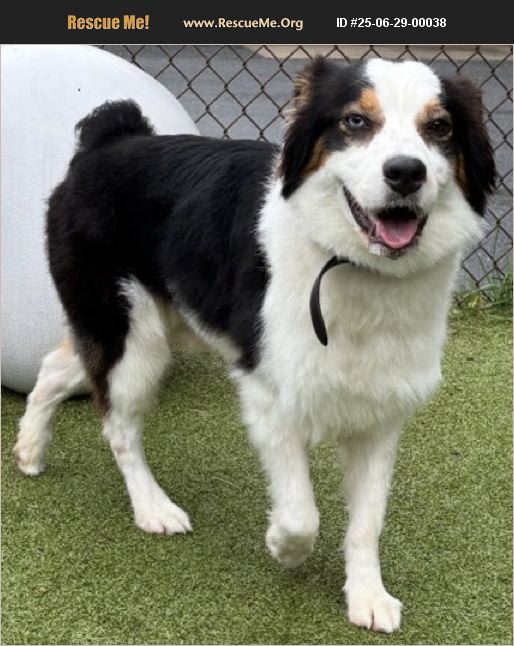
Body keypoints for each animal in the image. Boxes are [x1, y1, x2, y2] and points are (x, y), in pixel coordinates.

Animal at [15, 57, 496, 633]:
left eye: (439, 127)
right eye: (356, 122)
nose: (405, 172)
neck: (353, 265)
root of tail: (114, 136)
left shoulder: (381, 409)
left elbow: (367, 521)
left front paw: (367, 595)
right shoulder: (269, 390)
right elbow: (301, 513)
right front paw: (284, 549)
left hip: (153, 326)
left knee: (55, 367)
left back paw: (29, 450)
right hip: (132, 338)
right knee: (118, 426)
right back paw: (152, 508)